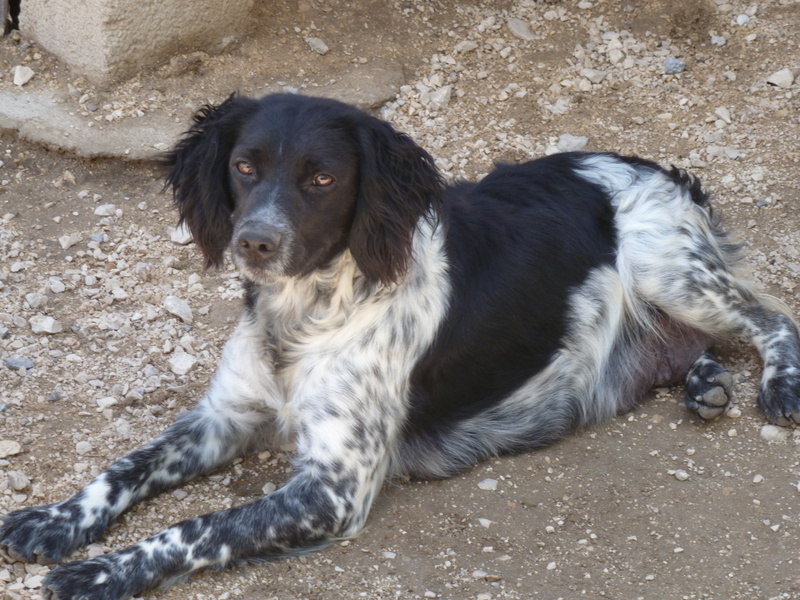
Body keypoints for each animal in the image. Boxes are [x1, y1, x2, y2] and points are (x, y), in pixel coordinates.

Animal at [2, 93, 799, 600]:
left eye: (323, 177)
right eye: (244, 166)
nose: (253, 241)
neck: (307, 315)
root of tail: (657, 166)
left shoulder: (333, 488)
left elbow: (201, 526)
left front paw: (106, 571)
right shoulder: (222, 417)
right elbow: (126, 466)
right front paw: (55, 520)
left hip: (671, 269)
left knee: (773, 318)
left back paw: (776, 384)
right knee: (693, 347)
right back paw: (702, 383)